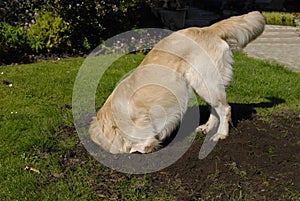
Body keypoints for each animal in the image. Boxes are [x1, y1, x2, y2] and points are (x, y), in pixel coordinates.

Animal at [89, 11, 264, 154]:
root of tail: (206, 29)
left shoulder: (143, 131)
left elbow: (141, 146)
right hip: (202, 85)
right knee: (215, 109)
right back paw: (207, 128)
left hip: (206, 83)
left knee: (225, 109)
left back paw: (221, 134)